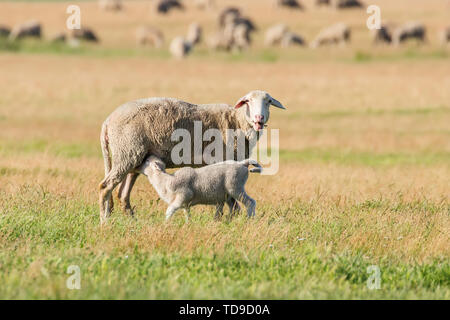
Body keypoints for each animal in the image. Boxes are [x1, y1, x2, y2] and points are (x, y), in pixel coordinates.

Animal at [100, 90, 286, 224]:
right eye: (248, 101)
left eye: (269, 102)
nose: (259, 118)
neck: (237, 121)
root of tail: (108, 121)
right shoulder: (221, 159)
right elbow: (225, 198)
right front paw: (223, 219)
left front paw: (226, 219)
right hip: (126, 151)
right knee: (105, 187)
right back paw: (104, 219)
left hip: (133, 157)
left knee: (122, 193)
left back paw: (131, 219)